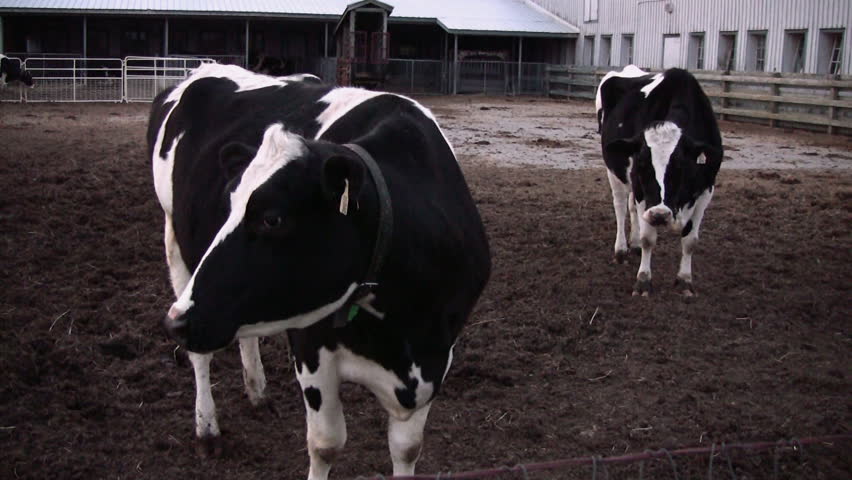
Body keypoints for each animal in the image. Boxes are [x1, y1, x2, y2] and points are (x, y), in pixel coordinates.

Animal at [147, 64, 491, 479]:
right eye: (230, 205)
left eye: (272, 218)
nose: (174, 323)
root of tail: (205, 69)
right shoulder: (311, 346)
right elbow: (326, 444)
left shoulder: (437, 356)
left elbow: (407, 449)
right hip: (177, 245)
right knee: (200, 355)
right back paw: (207, 429)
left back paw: (257, 392)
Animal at [596, 65, 723, 296]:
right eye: (642, 163)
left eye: (680, 165)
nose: (660, 214)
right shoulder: (640, 186)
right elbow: (648, 238)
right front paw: (643, 281)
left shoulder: (707, 188)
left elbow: (690, 241)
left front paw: (685, 281)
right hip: (614, 170)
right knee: (620, 206)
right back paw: (621, 250)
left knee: (631, 208)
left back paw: (634, 244)